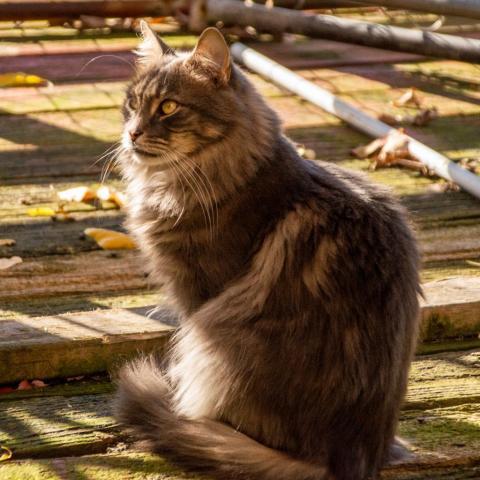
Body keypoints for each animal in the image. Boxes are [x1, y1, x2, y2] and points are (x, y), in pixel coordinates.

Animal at [115, 21, 420, 480]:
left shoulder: (199, 290)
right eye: (132, 104)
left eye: (168, 107)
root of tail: (349, 455)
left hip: (213, 329)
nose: (132, 132)